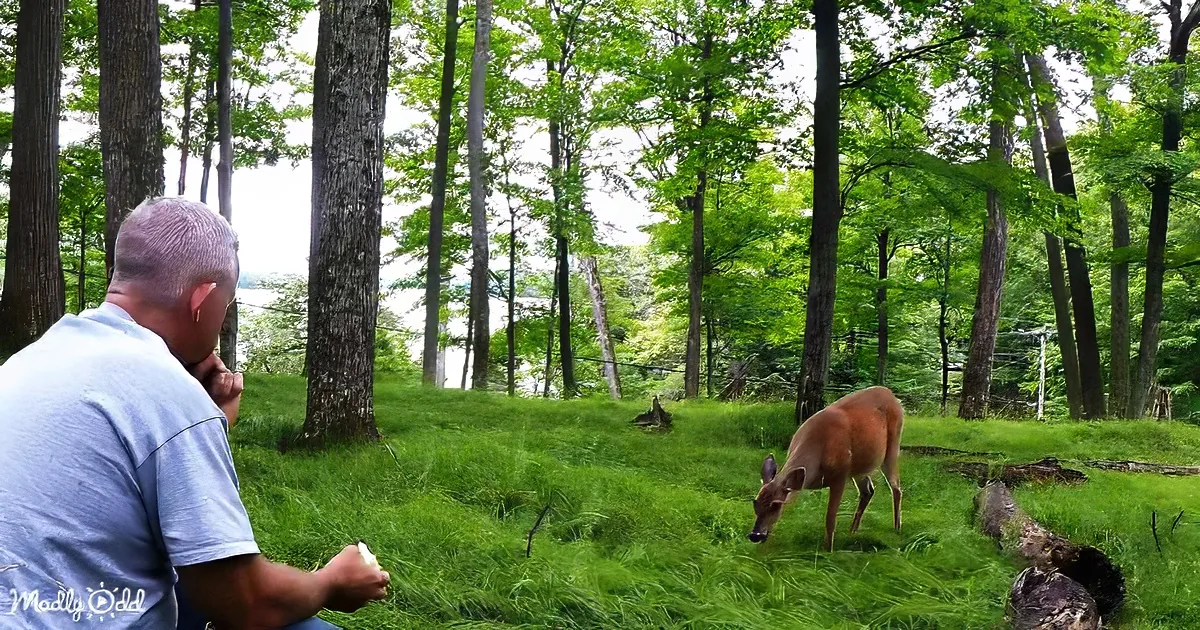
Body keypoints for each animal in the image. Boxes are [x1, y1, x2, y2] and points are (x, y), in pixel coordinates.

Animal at [748, 386, 904, 551]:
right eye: (755, 502)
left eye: (776, 505)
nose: (755, 535)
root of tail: (890, 393)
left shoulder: (840, 475)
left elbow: (830, 518)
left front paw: (828, 549)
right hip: (859, 467)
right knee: (868, 491)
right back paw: (852, 530)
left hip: (892, 447)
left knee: (896, 488)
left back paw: (897, 528)